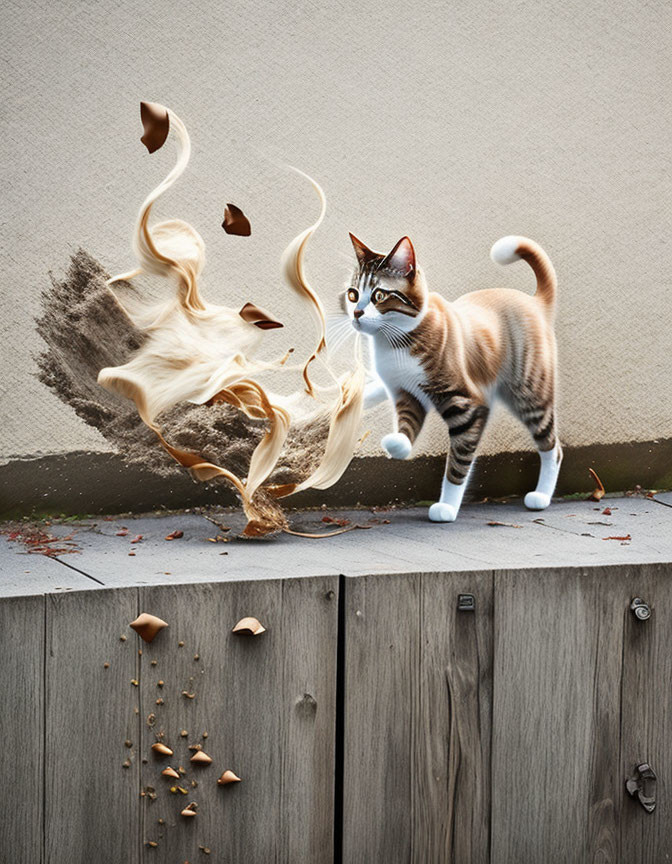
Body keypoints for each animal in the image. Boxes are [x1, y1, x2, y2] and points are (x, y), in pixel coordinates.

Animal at [346, 233, 560, 524]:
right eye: (353, 294)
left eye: (379, 295)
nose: (356, 313)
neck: (395, 341)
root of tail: (535, 301)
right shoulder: (407, 395)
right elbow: (406, 428)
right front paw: (397, 443)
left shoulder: (467, 406)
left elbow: (459, 461)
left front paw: (447, 506)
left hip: (528, 393)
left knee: (552, 447)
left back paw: (542, 496)